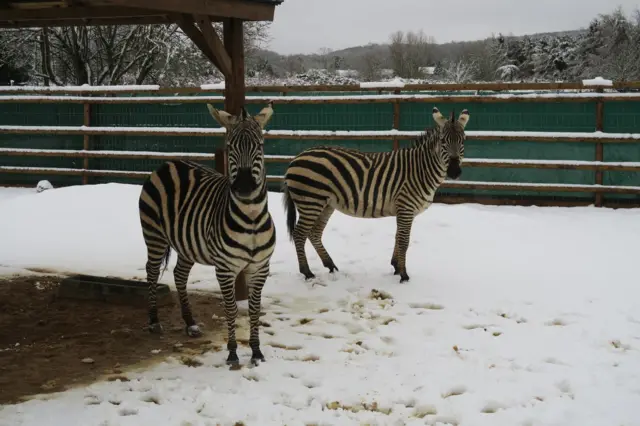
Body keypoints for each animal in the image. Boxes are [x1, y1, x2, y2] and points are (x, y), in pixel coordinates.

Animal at [139, 100, 276, 366]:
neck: (252, 219)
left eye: (260, 146)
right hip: (154, 235)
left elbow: (254, 309)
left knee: (179, 275)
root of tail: (170, 163)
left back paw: (190, 323)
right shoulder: (225, 268)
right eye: (230, 146)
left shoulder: (260, 268)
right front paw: (232, 353)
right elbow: (231, 309)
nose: (244, 187)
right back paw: (153, 321)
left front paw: (256, 352)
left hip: (186, 244)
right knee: (151, 271)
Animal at [282, 107, 468, 282]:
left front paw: (395, 266)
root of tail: (296, 158)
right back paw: (307, 272)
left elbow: (397, 237)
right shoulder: (406, 207)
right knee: (299, 234)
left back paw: (330, 265)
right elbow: (404, 241)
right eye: (443, 141)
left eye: (463, 140)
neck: (421, 170)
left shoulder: (403, 209)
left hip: (326, 203)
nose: (454, 172)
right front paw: (404, 275)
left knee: (314, 233)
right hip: (311, 201)